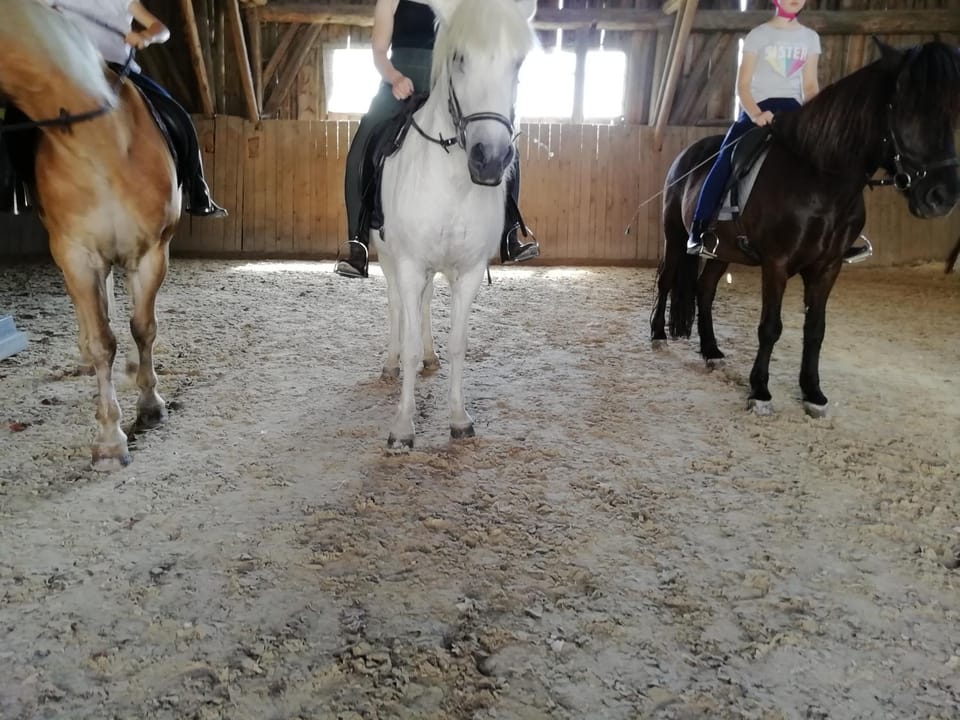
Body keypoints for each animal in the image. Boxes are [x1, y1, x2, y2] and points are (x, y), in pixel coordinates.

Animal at [1, 0, 180, 468]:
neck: (97, 144)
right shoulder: (76, 254)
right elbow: (103, 342)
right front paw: (110, 438)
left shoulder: (152, 252)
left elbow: (144, 328)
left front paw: (150, 404)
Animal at [651, 39, 960, 417]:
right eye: (906, 109)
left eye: (951, 112)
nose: (942, 196)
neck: (819, 178)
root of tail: (688, 154)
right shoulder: (776, 263)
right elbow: (770, 327)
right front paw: (760, 391)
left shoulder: (828, 266)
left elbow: (815, 329)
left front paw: (813, 392)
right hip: (675, 235)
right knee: (667, 279)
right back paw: (658, 336)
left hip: (723, 250)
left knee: (704, 290)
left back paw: (711, 350)